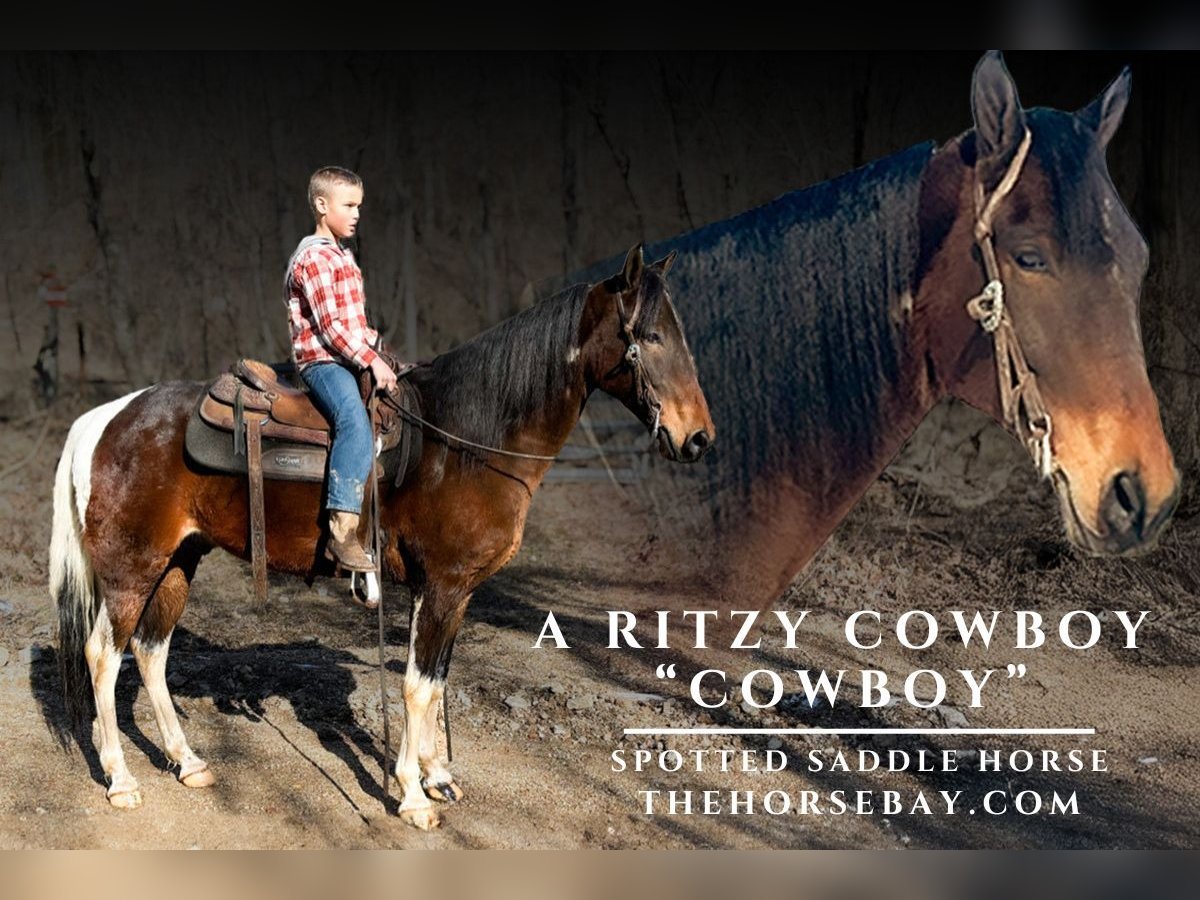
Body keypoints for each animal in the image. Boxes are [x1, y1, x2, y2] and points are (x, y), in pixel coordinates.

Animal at [49, 244, 715, 830]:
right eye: (650, 336)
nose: (700, 438)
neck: (464, 441)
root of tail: (102, 419)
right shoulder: (444, 585)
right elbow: (418, 689)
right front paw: (414, 796)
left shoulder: (451, 591)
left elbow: (437, 679)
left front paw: (437, 775)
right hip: (132, 570)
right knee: (103, 656)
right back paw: (121, 779)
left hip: (176, 564)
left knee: (151, 653)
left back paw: (188, 762)